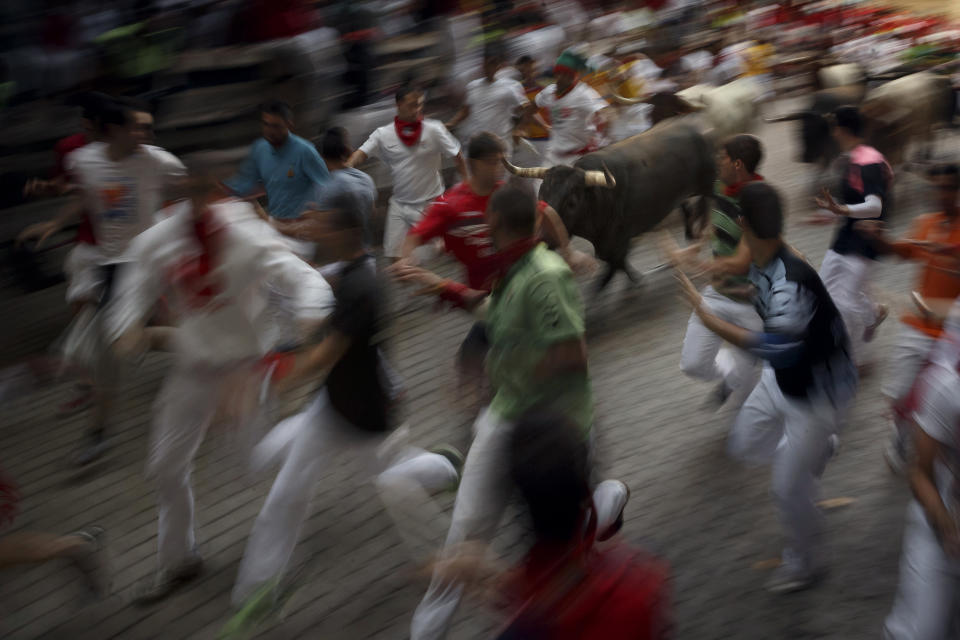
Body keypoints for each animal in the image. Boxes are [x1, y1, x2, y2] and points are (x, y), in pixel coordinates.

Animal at [502, 120, 712, 290]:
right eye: (541, 195)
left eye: (571, 202)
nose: (544, 239)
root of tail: (696, 129)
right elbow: (617, 263)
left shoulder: (619, 239)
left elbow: (614, 265)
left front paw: (632, 280)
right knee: (688, 209)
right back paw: (690, 234)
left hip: (707, 184)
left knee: (707, 205)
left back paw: (699, 234)